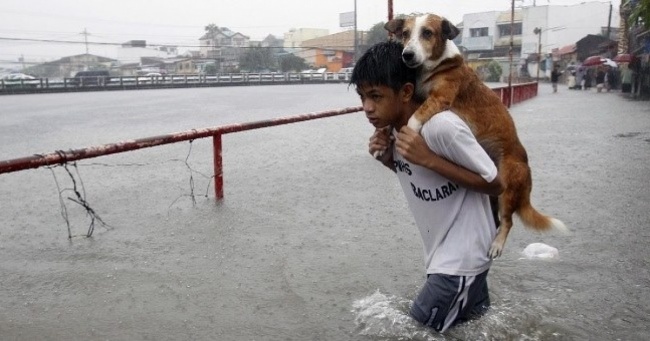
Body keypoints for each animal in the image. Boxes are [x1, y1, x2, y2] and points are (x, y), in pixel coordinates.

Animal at [382, 13, 564, 258]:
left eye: (427, 33)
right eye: (405, 34)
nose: (407, 55)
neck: (436, 66)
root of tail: (527, 171)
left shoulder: (439, 99)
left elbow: (413, 119)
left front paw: (407, 135)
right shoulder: (420, 96)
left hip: (506, 189)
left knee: (508, 222)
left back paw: (497, 245)